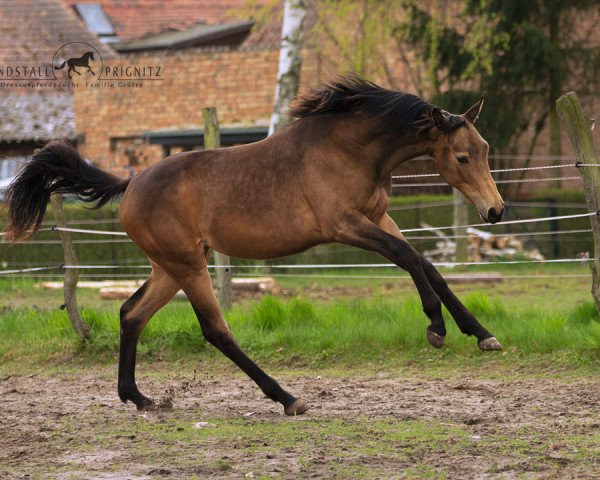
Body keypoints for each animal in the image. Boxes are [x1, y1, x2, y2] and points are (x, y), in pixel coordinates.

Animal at [4, 76, 504, 416]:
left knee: (132, 313)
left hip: (171, 267)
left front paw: (481, 333)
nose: (495, 211)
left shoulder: (381, 218)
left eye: (485, 149)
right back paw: (287, 398)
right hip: (188, 265)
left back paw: (139, 397)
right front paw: (436, 327)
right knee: (214, 330)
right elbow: (410, 258)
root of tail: (130, 183)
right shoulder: (345, 225)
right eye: (462, 157)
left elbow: (428, 266)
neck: (351, 149)